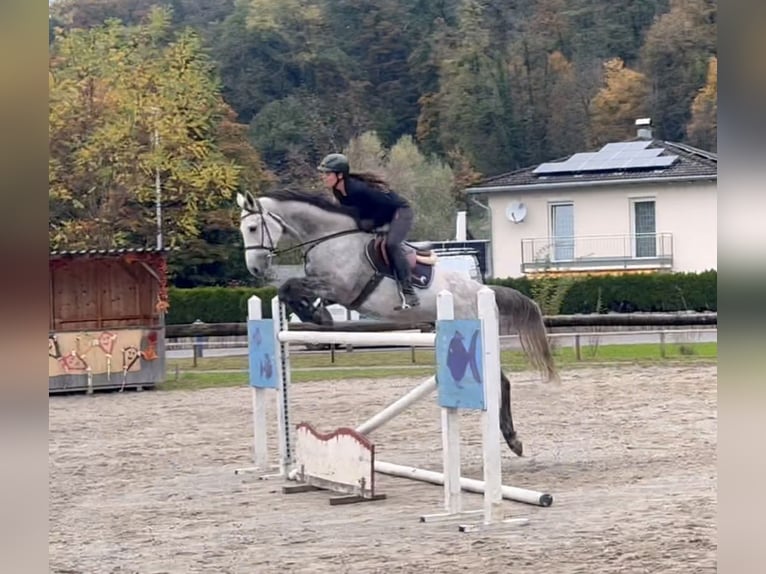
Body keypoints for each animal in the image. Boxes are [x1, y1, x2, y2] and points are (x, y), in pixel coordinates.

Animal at [237, 189, 560, 460]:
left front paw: (316, 314)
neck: (329, 238)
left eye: (252, 228)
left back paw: (513, 439)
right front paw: (313, 314)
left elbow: (291, 286)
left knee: (500, 382)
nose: (254, 269)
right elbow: (288, 290)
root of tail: (483, 290)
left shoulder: (341, 287)